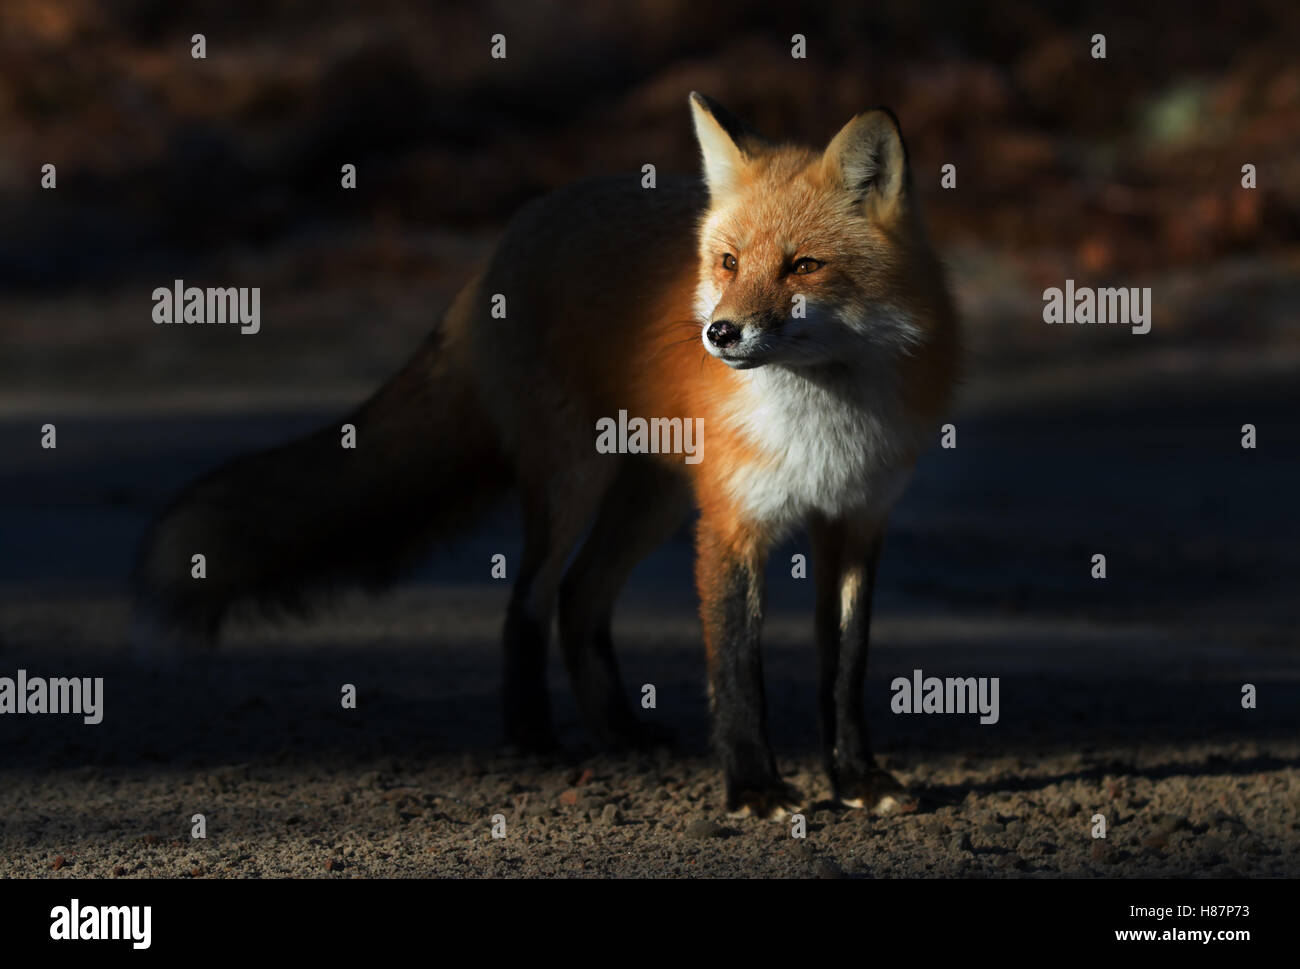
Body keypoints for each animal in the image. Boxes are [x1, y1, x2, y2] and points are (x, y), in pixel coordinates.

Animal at [133, 93, 959, 818]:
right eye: (728, 261)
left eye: (803, 266)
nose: (720, 334)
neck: (825, 418)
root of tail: (511, 235)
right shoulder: (732, 520)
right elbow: (737, 671)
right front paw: (754, 788)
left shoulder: (857, 519)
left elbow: (844, 667)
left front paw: (857, 778)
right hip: (574, 481)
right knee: (529, 600)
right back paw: (534, 736)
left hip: (652, 499)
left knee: (578, 595)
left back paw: (619, 729)